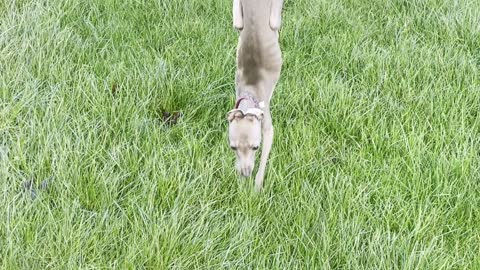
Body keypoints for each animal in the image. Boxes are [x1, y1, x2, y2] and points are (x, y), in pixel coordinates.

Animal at [227, 0, 284, 191]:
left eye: (255, 147)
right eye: (233, 148)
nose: (245, 174)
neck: (249, 93)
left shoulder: (267, 126)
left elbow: (263, 162)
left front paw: (257, 187)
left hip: (274, 18)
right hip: (239, 20)